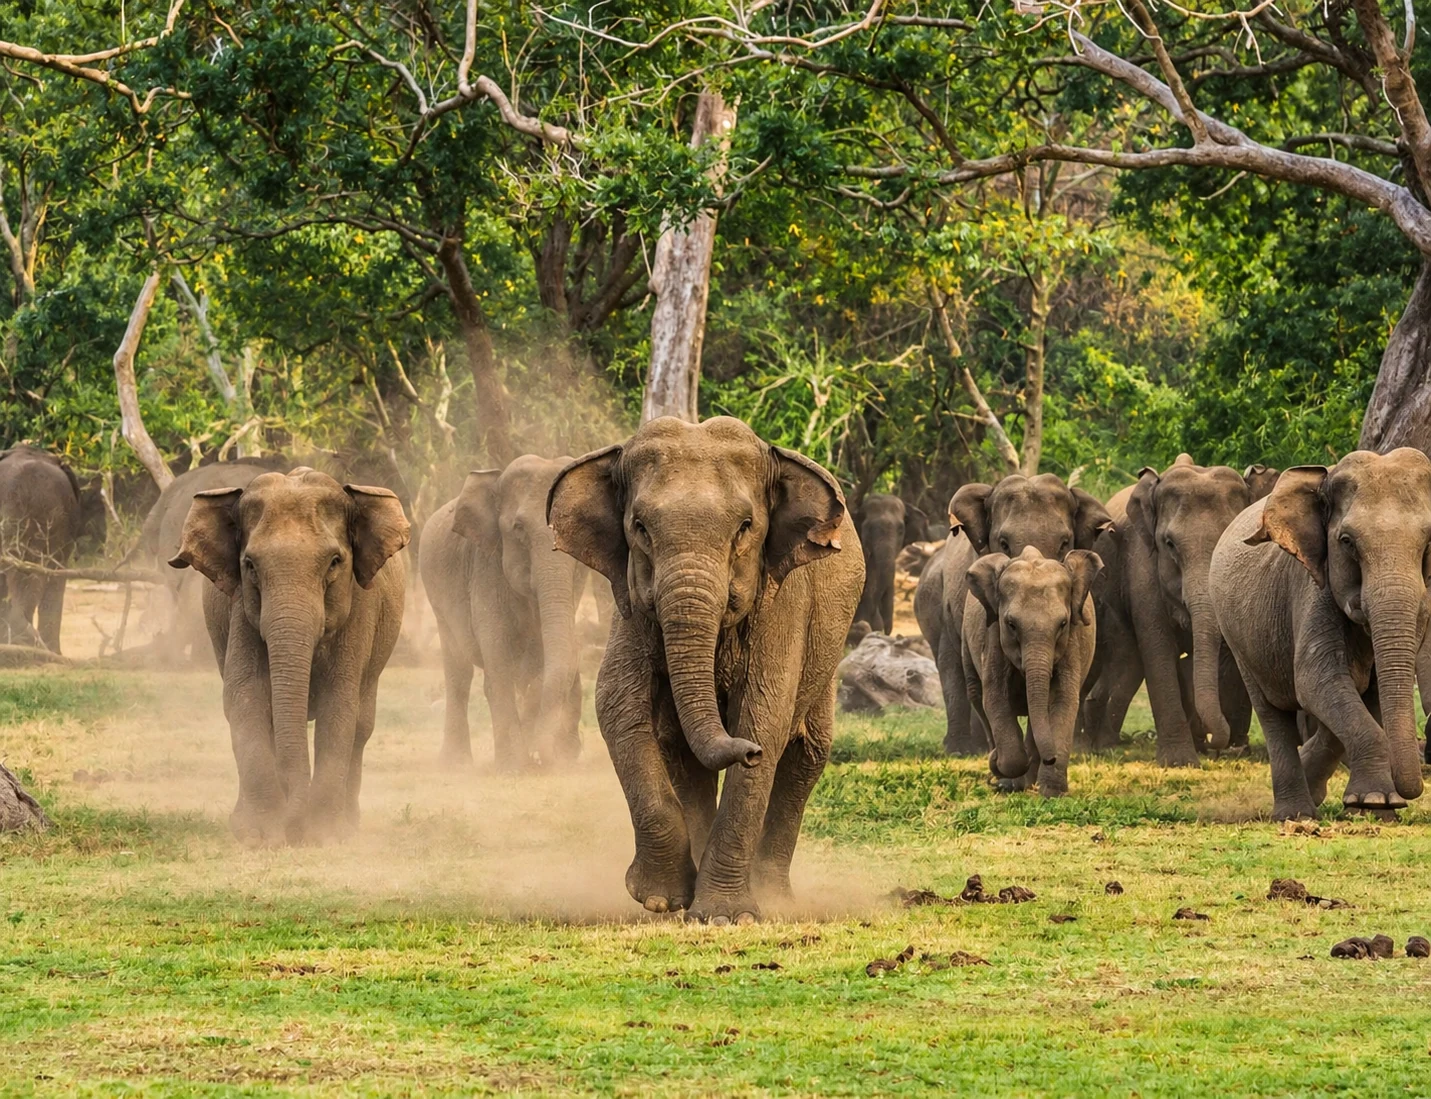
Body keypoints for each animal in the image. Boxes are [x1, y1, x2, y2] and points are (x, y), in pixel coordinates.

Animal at [168, 468, 410, 845]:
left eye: (335, 562)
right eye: (250, 565)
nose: (294, 827)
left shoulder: (360, 607)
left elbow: (340, 702)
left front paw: (324, 836)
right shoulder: (240, 609)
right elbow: (246, 695)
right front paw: (259, 834)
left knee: (362, 723)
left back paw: (350, 822)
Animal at [420, 454, 592, 770]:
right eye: (518, 528)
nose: (545, 757)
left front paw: (553, 755)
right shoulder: (486, 567)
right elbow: (497, 652)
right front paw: (514, 766)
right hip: (437, 601)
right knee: (459, 672)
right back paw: (456, 763)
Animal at [547, 416, 862, 924]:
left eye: (745, 527)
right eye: (639, 527)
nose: (747, 753)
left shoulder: (782, 601)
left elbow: (764, 717)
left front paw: (725, 917)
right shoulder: (629, 607)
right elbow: (618, 708)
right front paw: (659, 899)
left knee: (806, 754)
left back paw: (773, 898)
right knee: (681, 753)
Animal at [962, 547, 1102, 797]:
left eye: (1063, 624)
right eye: (1011, 624)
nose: (1050, 758)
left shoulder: (1072, 642)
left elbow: (1063, 700)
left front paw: (1052, 793)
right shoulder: (993, 635)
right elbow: (995, 698)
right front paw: (1003, 765)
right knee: (977, 697)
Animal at [1211, 449, 1431, 818]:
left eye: (1429, 543)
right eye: (1347, 542)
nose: (1410, 792)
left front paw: (1374, 806)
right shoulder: (1311, 588)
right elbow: (1316, 678)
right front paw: (1375, 801)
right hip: (1238, 637)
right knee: (1272, 713)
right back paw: (1296, 813)